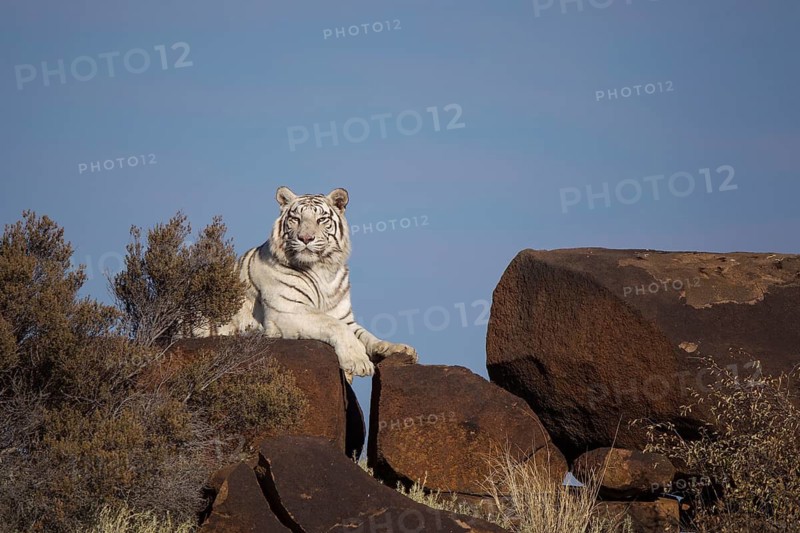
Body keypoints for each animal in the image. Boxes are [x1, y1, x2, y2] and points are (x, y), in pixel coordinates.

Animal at [211, 186, 418, 380]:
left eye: (321, 219)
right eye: (296, 219)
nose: (305, 238)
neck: (322, 269)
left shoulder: (344, 317)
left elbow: (367, 336)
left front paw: (399, 349)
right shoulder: (287, 310)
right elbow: (335, 326)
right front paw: (358, 361)